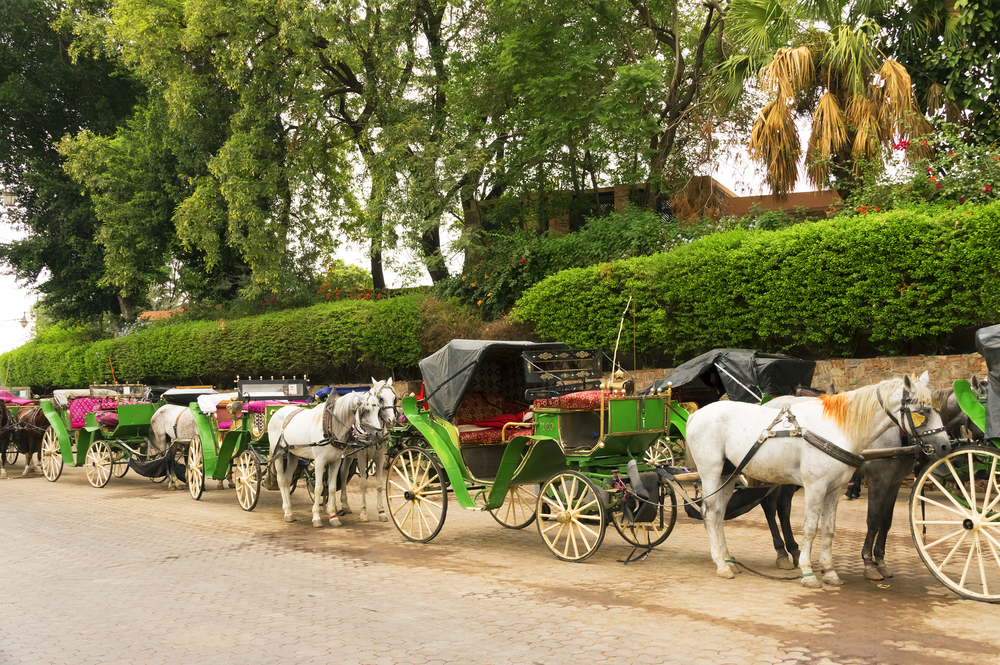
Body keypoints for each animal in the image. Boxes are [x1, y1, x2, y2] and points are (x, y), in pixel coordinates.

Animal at [266, 392, 382, 528]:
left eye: (379, 410)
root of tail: (278, 412)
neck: (330, 426)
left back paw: (289, 511)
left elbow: (331, 487)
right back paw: (287, 512)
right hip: (278, 452)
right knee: (280, 481)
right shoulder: (319, 461)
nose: (378, 434)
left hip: (293, 454)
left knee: (287, 480)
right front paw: (316, 517)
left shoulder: (335, 461)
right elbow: (318, 488)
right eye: (366, 410)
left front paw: (333, 516)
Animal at [684, 376, 948, 588]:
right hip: (711, 473)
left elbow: (830, 529)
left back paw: (728, 559)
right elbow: (811, 528)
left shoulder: (836, 489)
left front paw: (829, 572)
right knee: (712, 513)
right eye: (924, 411)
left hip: (727, 476)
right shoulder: (818, 487)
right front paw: (808, 572)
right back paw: (723, 564)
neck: (837, 429)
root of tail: (696, 414)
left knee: (720, 514)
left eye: (938, 409)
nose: (946, 445)